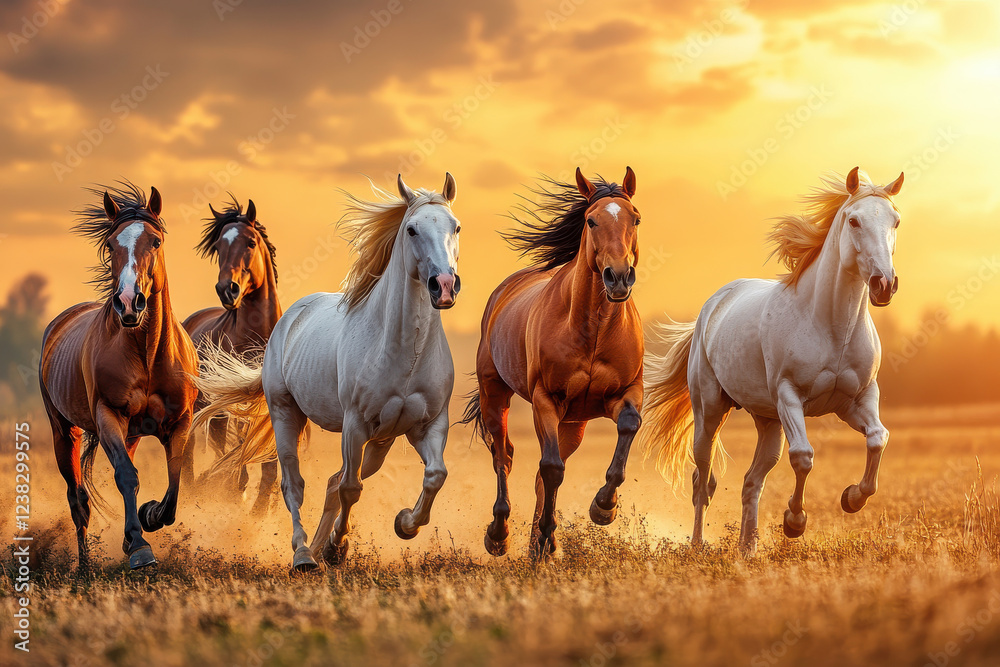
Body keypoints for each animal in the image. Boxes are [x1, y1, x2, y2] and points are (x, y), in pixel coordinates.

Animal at [39, 183, 199, 570]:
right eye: (111, 244)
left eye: (155, 241)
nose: (129, 302)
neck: (148, 355)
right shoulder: (109, 415)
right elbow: (127, 476)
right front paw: (140, 548)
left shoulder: (180, 421)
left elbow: (173, 482)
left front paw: (149, 516)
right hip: (64, 431)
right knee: (78, 499)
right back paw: (84, 566)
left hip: (132, 434)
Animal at [193, 173, 462, 572]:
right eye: (412, 229)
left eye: (456, 227)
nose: (443, 285)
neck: (404, 351)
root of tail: (290, 317)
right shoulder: (355, 424)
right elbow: (350, 488)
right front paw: (337, 547)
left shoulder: (427, 425)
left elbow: (436, 476)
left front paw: (404, 524)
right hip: (286, 414)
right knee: (294, 484)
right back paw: (305, 554)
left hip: (381, 442)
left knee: (335, 481)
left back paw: (320, 549)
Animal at [461, 167, 644, 559]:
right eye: (591, 220)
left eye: (635, 218)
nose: (619, 277)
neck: (594, 330)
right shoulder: (546, 399)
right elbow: (551, 468)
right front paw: (546, 535)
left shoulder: (625, 392)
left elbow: (627, 428)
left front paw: (603, 508)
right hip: (494, 394)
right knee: (504, 457)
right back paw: (499, 535)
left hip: (574, 422)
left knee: (536, 473)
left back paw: (535, 546)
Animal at [638, 167, 904, 555]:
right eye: (854, 220)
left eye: (895, 221)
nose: (884, 284)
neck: (831, 326)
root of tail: (712, 304)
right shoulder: (789, 397)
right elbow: (804, 456)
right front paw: (794, 522)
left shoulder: (857, 400)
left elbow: (878, 438)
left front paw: (852, 498)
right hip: (711, 412)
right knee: (702, 480)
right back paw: (698, 544)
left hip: (767, 422)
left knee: (751, 481)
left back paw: (747, 547)